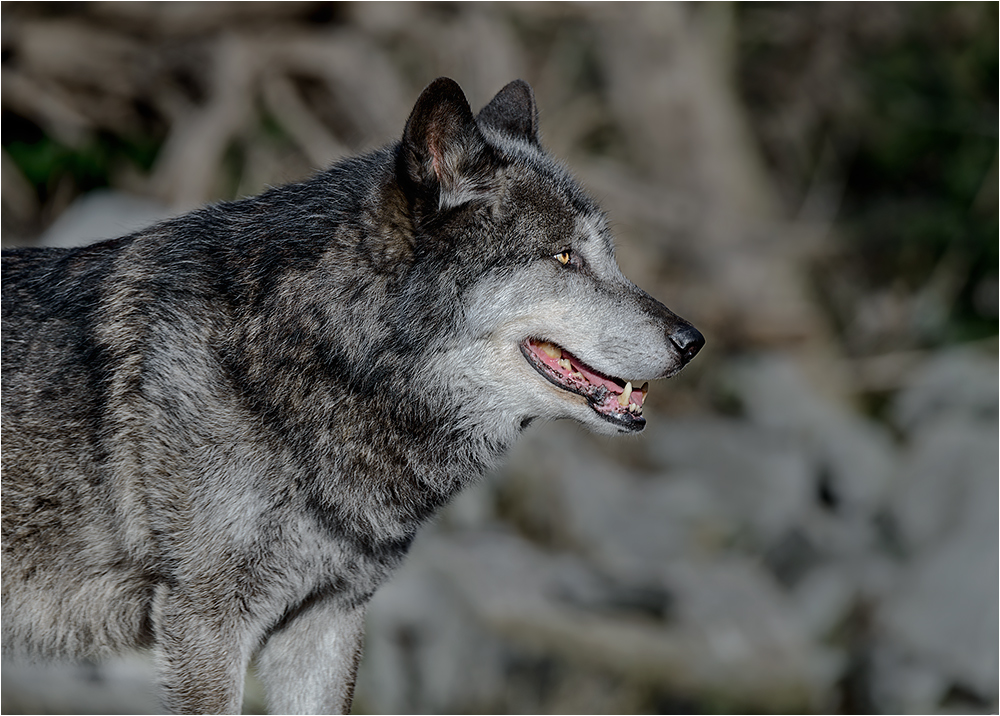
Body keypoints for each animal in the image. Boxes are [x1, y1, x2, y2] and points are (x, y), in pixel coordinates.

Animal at [1, 75, 704, 712]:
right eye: (563, 257)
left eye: (607, 256)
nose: (692, 340)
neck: (320, 360)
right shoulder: (206, 624)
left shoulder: (327, 622)